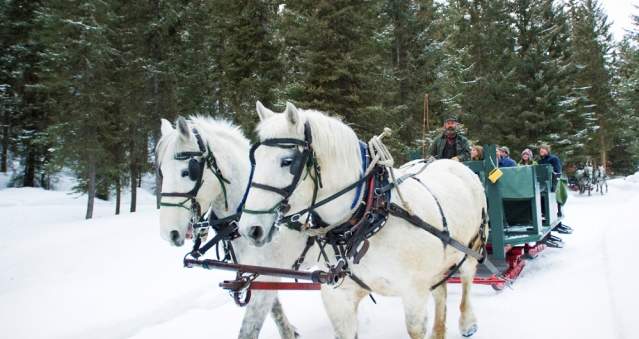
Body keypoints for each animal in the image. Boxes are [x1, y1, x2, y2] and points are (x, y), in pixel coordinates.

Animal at [156, 115, 304, 338]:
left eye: (187, 172)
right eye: (162, 172)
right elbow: (275, 310)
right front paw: (289, 331)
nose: (169, 233)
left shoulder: (269, 272)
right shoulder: (258, 274)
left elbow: (249, 328)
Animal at [238, 103, 488, 339]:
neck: (368, 216)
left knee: (467, 278)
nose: (250, 229)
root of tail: (450, 163)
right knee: (440, 291)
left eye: (287, 161)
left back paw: (468, 323)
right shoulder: (338, 298)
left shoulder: (414, 293)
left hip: (472, 245)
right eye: (254, 160)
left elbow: (416, 328)